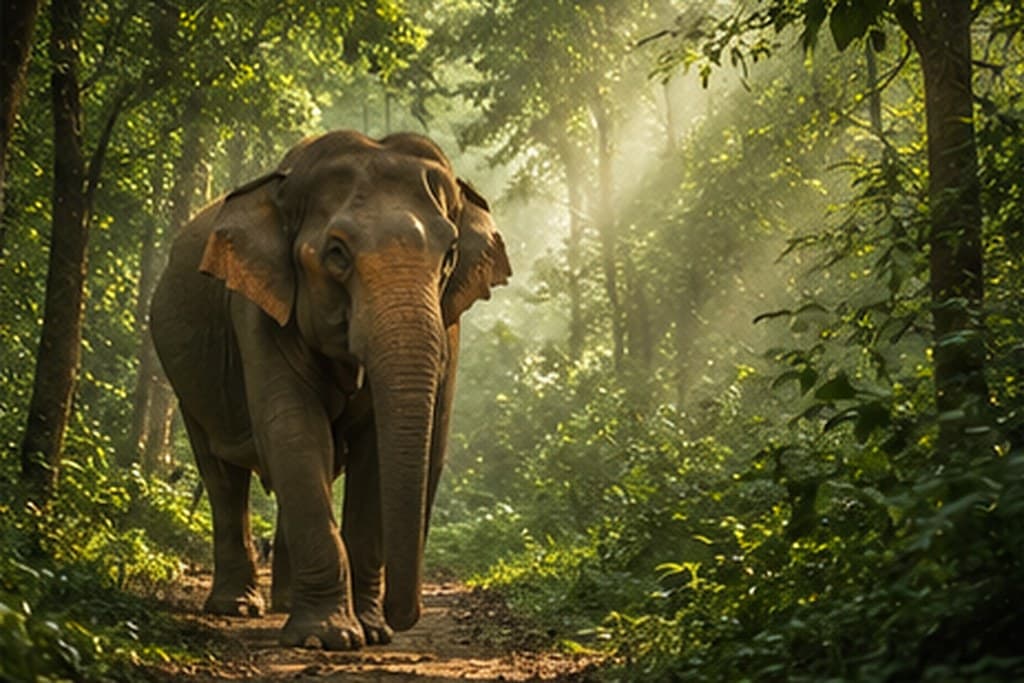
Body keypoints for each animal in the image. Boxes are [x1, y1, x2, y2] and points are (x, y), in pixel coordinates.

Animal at [150, 130, 511, 650]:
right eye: (336, 253)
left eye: (449, 256)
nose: (403, 617)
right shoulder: (255, 307)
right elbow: (294, 431)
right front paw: (328, 638)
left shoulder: (450, 321)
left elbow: (372, 452)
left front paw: (372, 631)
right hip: (186, 384)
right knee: (223, 476)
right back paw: (238, 606)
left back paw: (283, 604)